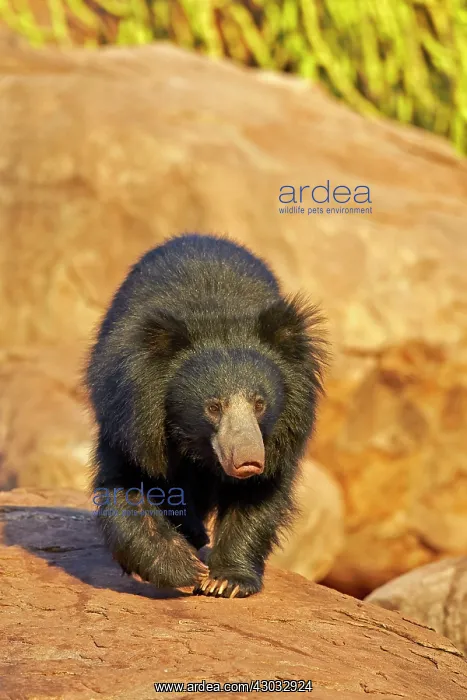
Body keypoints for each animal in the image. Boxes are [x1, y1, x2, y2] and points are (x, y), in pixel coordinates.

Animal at [85, 233, 327, 598]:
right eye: (213, 406)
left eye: (259, 403)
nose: (249, 461)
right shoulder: (128, 416)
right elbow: (126, 485)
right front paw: (184, 569)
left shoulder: (284, 430)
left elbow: (258, 497)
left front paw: (227, 580)